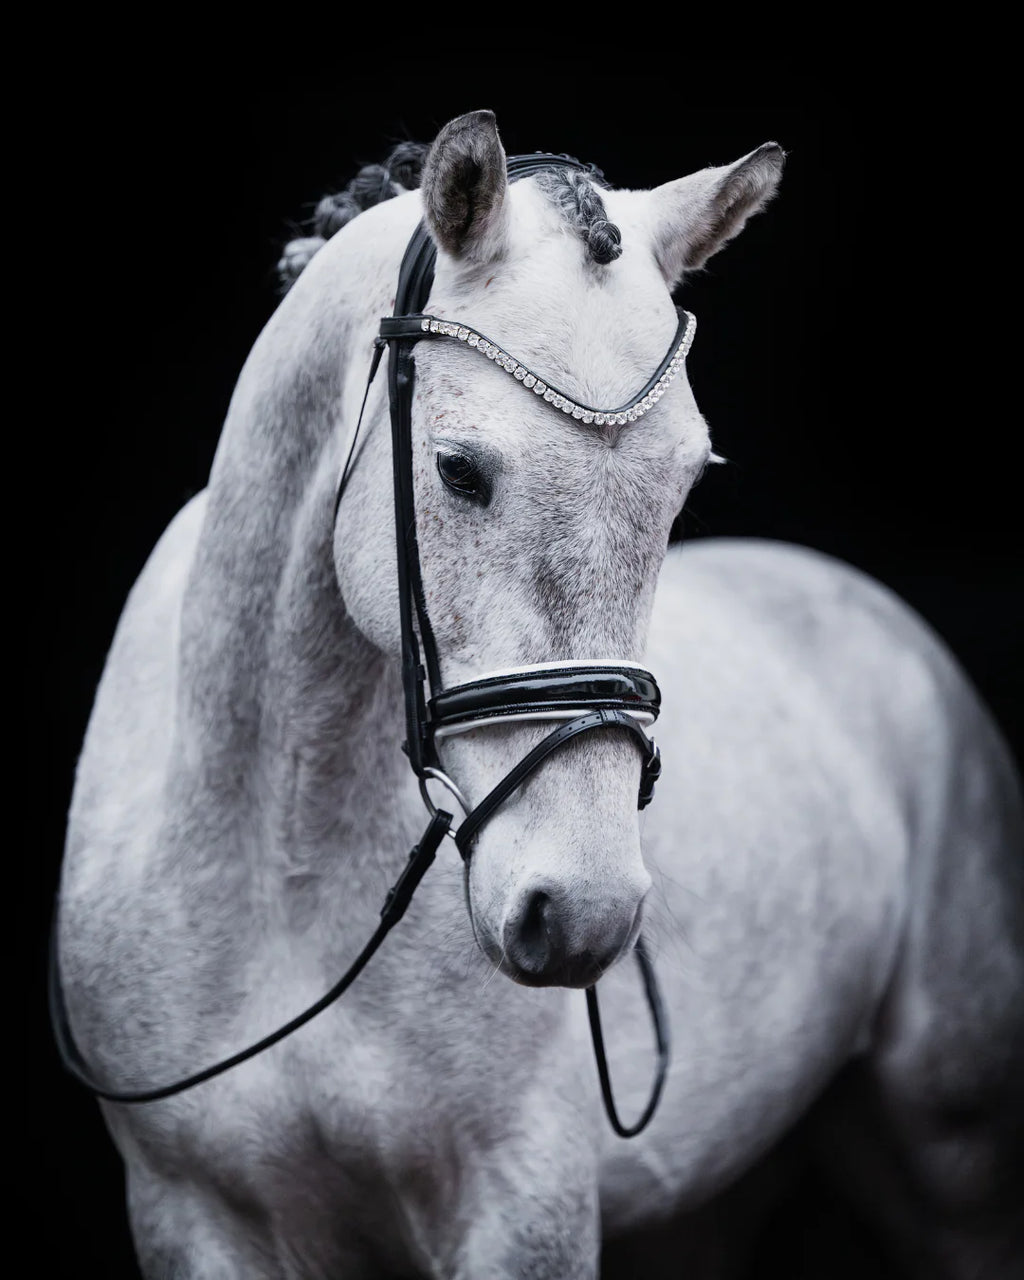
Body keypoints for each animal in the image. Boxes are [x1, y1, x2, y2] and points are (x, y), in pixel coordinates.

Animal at [55, 109, 1024, 1278]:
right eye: (458, 470)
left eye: (685, 484)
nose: (581, 912)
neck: (284, 878)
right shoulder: (194, 1214)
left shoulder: (521, 1206)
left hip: (958, 1154)